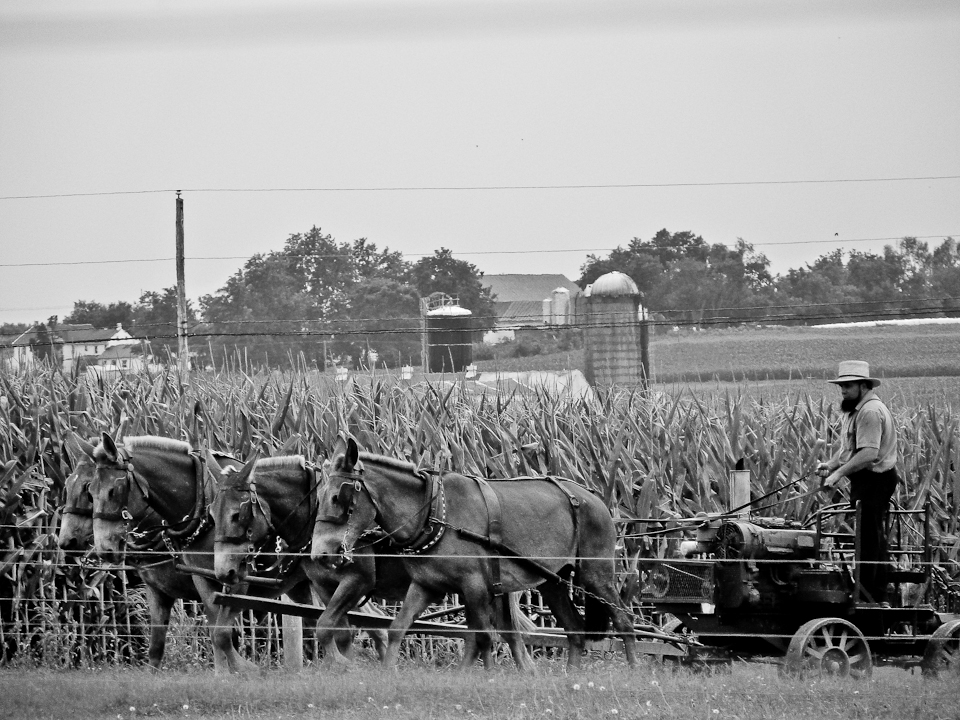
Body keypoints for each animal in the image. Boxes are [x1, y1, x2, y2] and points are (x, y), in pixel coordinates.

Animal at [87, 434, 316, 676]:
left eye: (113, 491)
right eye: (89, 492)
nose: (104, 548)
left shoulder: (237, 578)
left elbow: (221, 633)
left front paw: (244, 669)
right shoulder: (191, 582)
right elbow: (176, 640)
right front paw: (223, 674)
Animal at [310, 438, 636, 668]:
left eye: (338, 497)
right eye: (318, 496)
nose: (320, 553)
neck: (433, 511)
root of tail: (594, 497)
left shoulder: (475, 585)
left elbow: (481, 637)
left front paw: (484, 675)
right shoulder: (426, 585)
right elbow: (398, 629)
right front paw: (387, 673)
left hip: (596, 574)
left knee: (623, 620)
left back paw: (633, 669)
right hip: (552, 580)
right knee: (575, 630)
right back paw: (572, 675)